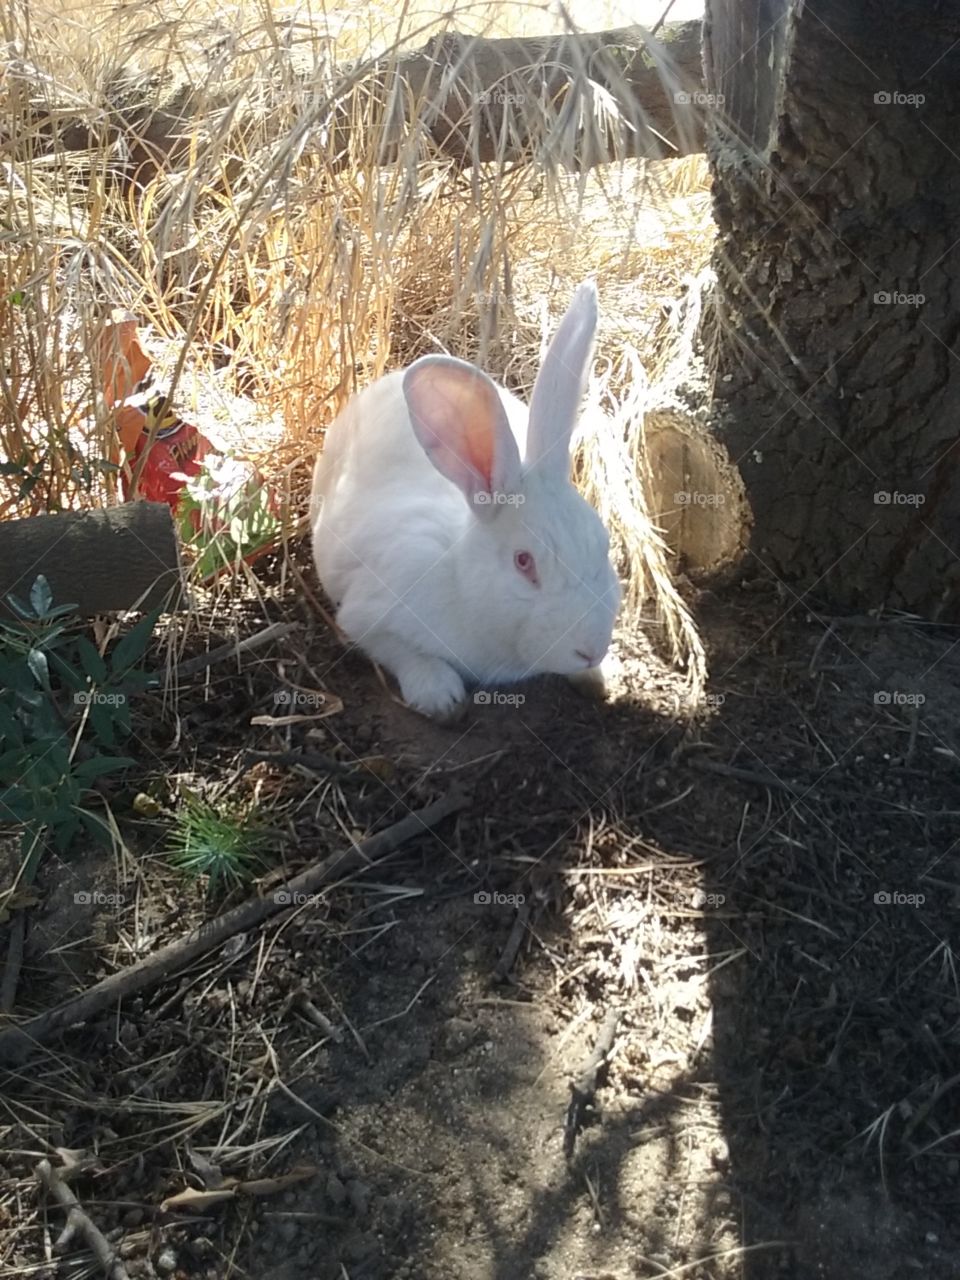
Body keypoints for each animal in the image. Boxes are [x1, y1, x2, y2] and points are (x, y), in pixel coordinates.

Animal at [310, 281, 621, 719]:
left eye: (604, 545)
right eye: (523, 562)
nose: (591, 649)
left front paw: (598, 677)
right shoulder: (364, 616)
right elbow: (399, 649)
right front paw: (441, 696)